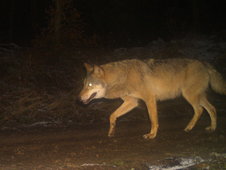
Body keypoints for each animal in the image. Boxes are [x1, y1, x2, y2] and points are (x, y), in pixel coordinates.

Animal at [78, 58, 226, 139]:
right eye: (83, 84)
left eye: (89, 85)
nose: (78, 99)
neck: (123, 77)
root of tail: (203, 63)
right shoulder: (132, 102)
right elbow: (112, 116)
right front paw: (112, 131)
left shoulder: (149, 99)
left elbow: (153, 120)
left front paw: (152, 135)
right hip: (196, 96)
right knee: (212, 109)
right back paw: (212, 128)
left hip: (190, 96)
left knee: (200, 110)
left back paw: (189, 128)